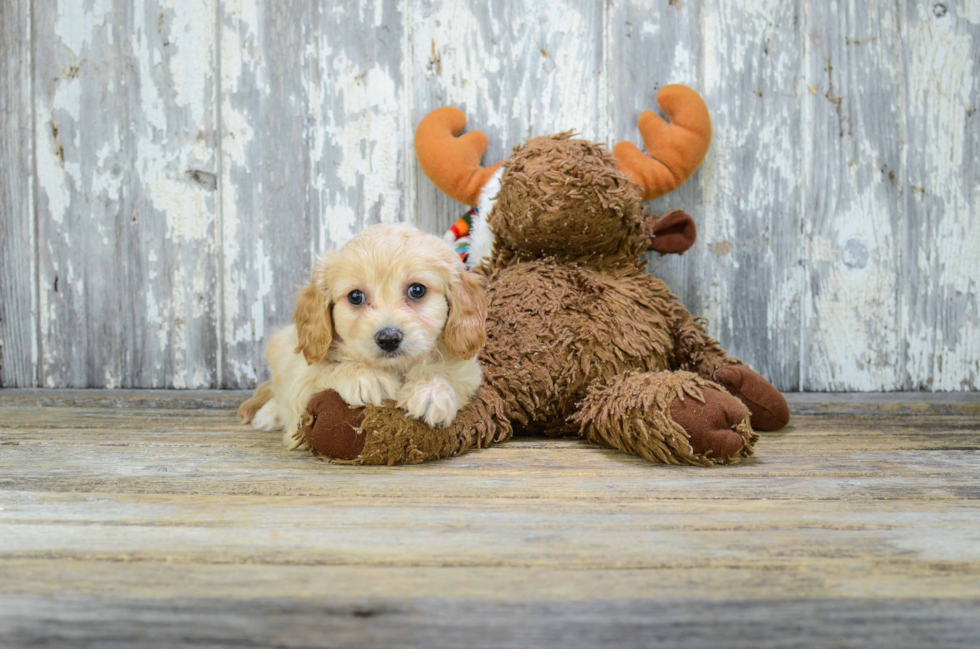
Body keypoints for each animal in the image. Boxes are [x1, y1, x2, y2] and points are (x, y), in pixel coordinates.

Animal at [239, 220, 488, 448]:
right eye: (355, 296)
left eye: (417, 290)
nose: (388, 338)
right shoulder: (302, 374)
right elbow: (322, 372)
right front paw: (366, 377)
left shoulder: (468, 372)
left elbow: (447, 373)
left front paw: (430, 391)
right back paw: (269, 413)